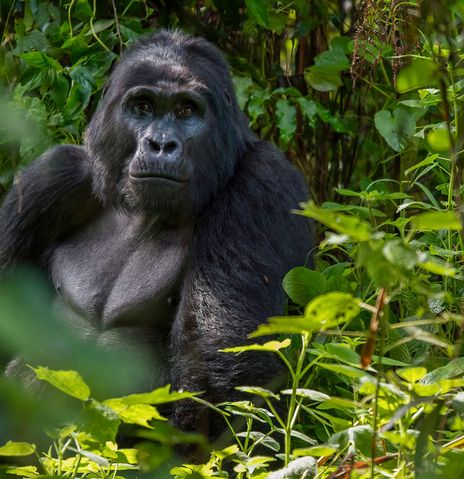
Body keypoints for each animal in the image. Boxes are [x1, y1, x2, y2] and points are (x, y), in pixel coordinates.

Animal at [0, 29, 312, 436]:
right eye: (143, 107)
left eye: (186, 111)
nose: (161, 144)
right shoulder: (52, 176)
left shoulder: (263, 183)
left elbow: (224, 374)